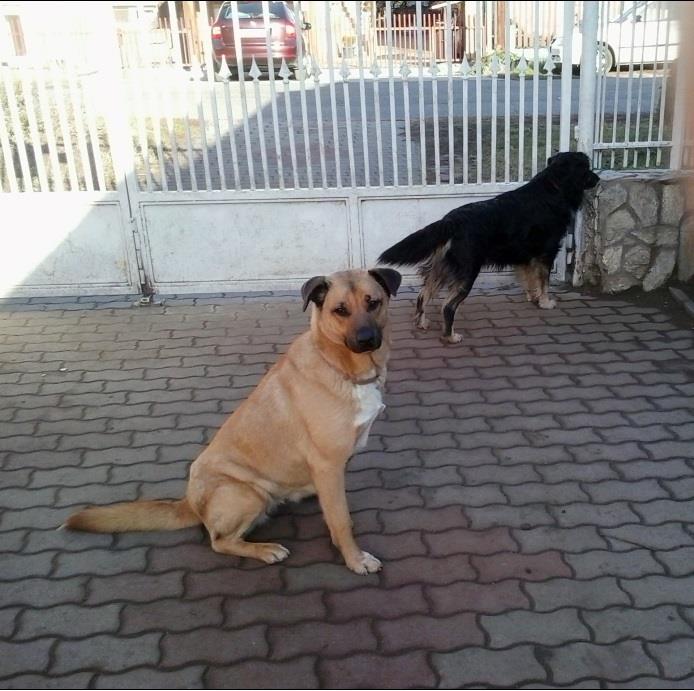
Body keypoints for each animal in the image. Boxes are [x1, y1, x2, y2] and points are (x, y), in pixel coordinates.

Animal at [63, 268, 401, 575]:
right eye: (340, 310)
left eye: (373, 302)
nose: (367, 339)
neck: (341, 367)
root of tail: (189, 502)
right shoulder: (328, 465)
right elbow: (341, 520)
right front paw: (355, 559)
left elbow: (338, 514)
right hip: (247, 494)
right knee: (219, 541)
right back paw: (265, 550)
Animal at [378, 152, 599, 343]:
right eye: (585, 168)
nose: (598, 178)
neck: (552, 187)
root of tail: (451, 221)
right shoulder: (547, 252)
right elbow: (544, 281)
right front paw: (545, 302)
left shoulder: (526, 255)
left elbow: (529, 278)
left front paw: (532, 297)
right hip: (467, 272)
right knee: (447, 307)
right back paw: (451, 336)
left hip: (442, 268)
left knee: (423, 295)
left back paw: (422, 323)